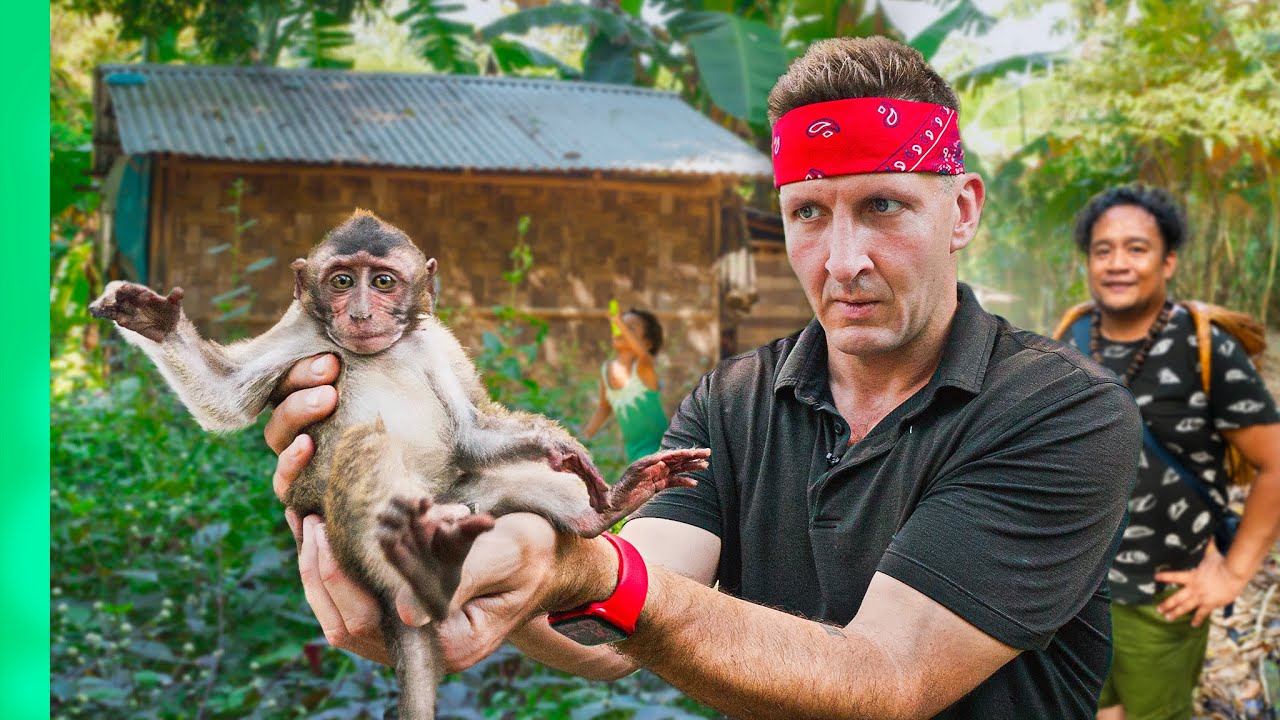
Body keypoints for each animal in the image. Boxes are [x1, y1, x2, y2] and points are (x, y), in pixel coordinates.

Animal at [88, 209, 711, 720]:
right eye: (342, 280)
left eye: (383, 280)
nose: (362, 312)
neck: (380, 349)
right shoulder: (303, 331)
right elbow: (225, 400)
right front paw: (154, 320)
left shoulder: (435, 340)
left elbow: (472, 434)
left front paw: (565, 452)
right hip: (371, 529)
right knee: (368, 444)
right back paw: (426, 580)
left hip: (464, 502)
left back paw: (597, 512)